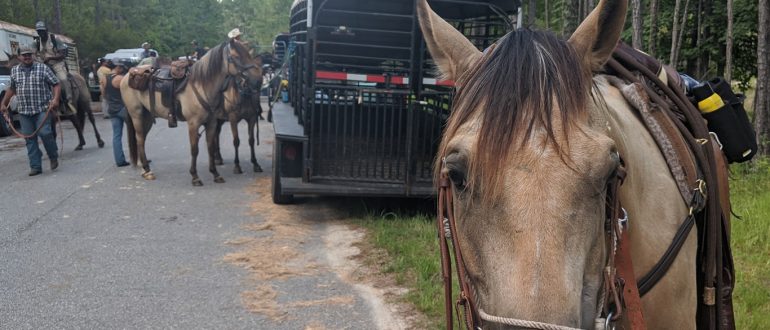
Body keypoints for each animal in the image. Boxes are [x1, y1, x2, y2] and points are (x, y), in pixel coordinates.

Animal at [121, 39, 262, 186]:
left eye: (250, 55)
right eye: (236, 56)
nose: (257, 79)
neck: (202, 86)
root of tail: (127, 75)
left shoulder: (212, 123)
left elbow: (210, 147)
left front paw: (215, 173)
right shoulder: (194, 124)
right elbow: (195, 150)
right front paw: (195, 176)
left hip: (147, 117)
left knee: (141, 139)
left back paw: (145, 169)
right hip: (136, 115)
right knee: (139, 138)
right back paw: (147, 170)